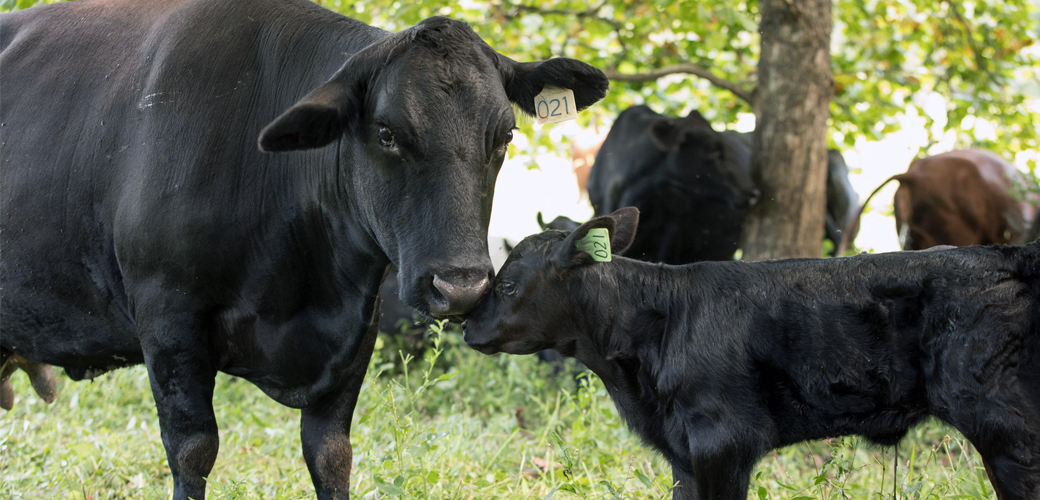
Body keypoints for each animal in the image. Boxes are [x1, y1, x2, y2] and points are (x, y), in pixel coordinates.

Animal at [0, 1, 607, 496]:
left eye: (504, 136)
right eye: (386, 133)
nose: (460, 286)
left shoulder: (357, 329)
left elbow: (331, 455)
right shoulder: (167, 320)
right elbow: (193, 452)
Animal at [467, 205, 1040, 498]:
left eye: (510, 285)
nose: (468, 328)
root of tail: (1005, 254)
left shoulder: (723, 440)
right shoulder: (684, 455)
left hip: (1007, 426)